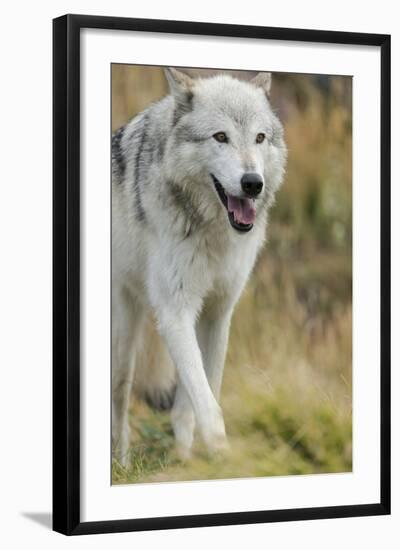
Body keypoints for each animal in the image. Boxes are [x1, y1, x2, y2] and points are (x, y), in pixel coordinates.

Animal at [111, 67, 288, 468]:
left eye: (259, 138)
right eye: (220, 137)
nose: (253, 184)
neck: (213, 233)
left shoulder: (217, 312)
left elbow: (194, 401)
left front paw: (187, 462)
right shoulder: (176, 312)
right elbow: (208, 407)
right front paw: (222, 459)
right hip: (124, 337)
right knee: (119, 397)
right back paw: (121, 465)